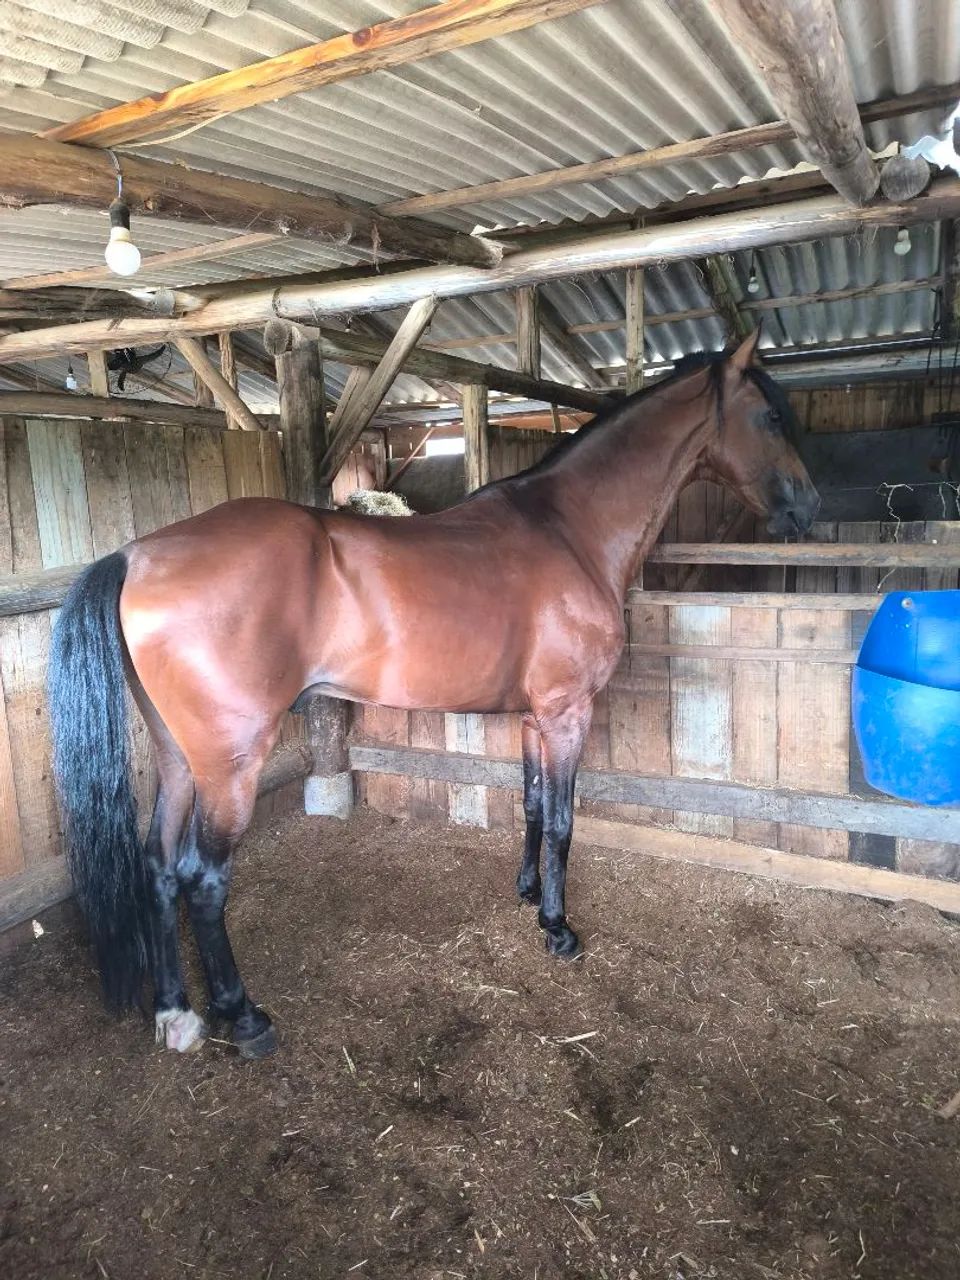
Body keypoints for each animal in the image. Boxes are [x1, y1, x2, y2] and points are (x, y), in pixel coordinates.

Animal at [48, 330, 819, 1059]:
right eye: (770, 416)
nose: (809, 509)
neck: (569, 531)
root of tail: (137, 556)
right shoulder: (568, 713)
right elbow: (563, 821)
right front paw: (559, 930)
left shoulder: (536, 718)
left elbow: (532, 805)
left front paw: (529, 895)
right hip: (230, 765)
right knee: (202, 880)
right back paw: (243, 1018)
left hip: (181, 758)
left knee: (156, 867)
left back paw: (174, 1013)